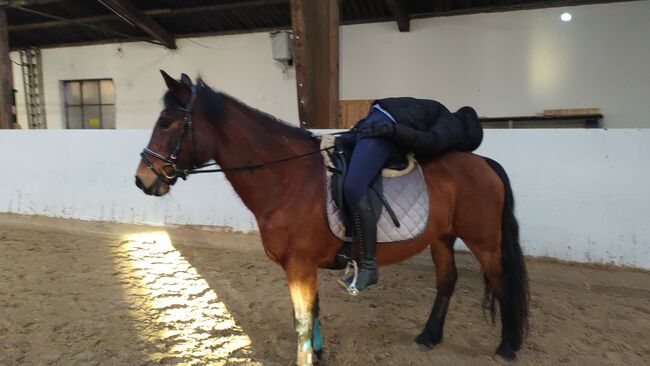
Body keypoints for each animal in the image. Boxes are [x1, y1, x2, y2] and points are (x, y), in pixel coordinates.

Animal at [135, 71, 528, 364]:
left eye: (167, 122)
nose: (142, 179)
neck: (289, 178)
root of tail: (483, 162)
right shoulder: (302, 266)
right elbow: (313, 313)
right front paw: (319, 353)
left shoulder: (300, 265)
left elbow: (301, 322)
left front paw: (308, 356)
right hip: (442, 237)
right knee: (447, 281)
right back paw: (429, 336)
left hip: (483, 240)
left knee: (500, 280)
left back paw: (508, 346)